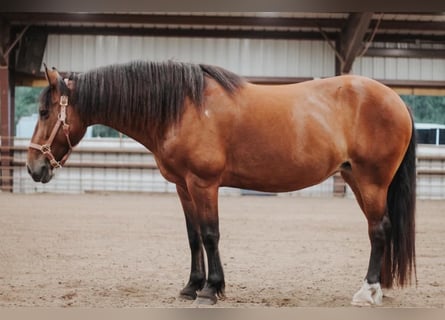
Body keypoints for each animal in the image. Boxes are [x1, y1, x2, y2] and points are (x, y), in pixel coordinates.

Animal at [26, 59, 416, 304]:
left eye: (44, 112)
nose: (33, 168)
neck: (181, 108)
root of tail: (396, 99)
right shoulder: (183, 186)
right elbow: (193, 236)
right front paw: (191, 286)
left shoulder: (204, 183)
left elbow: (211, 234)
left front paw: (211, 290)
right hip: (356, 179)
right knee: (380, 230)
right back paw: (379, 287)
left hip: (371, 181)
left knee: (379, 230)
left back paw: (367, 291)